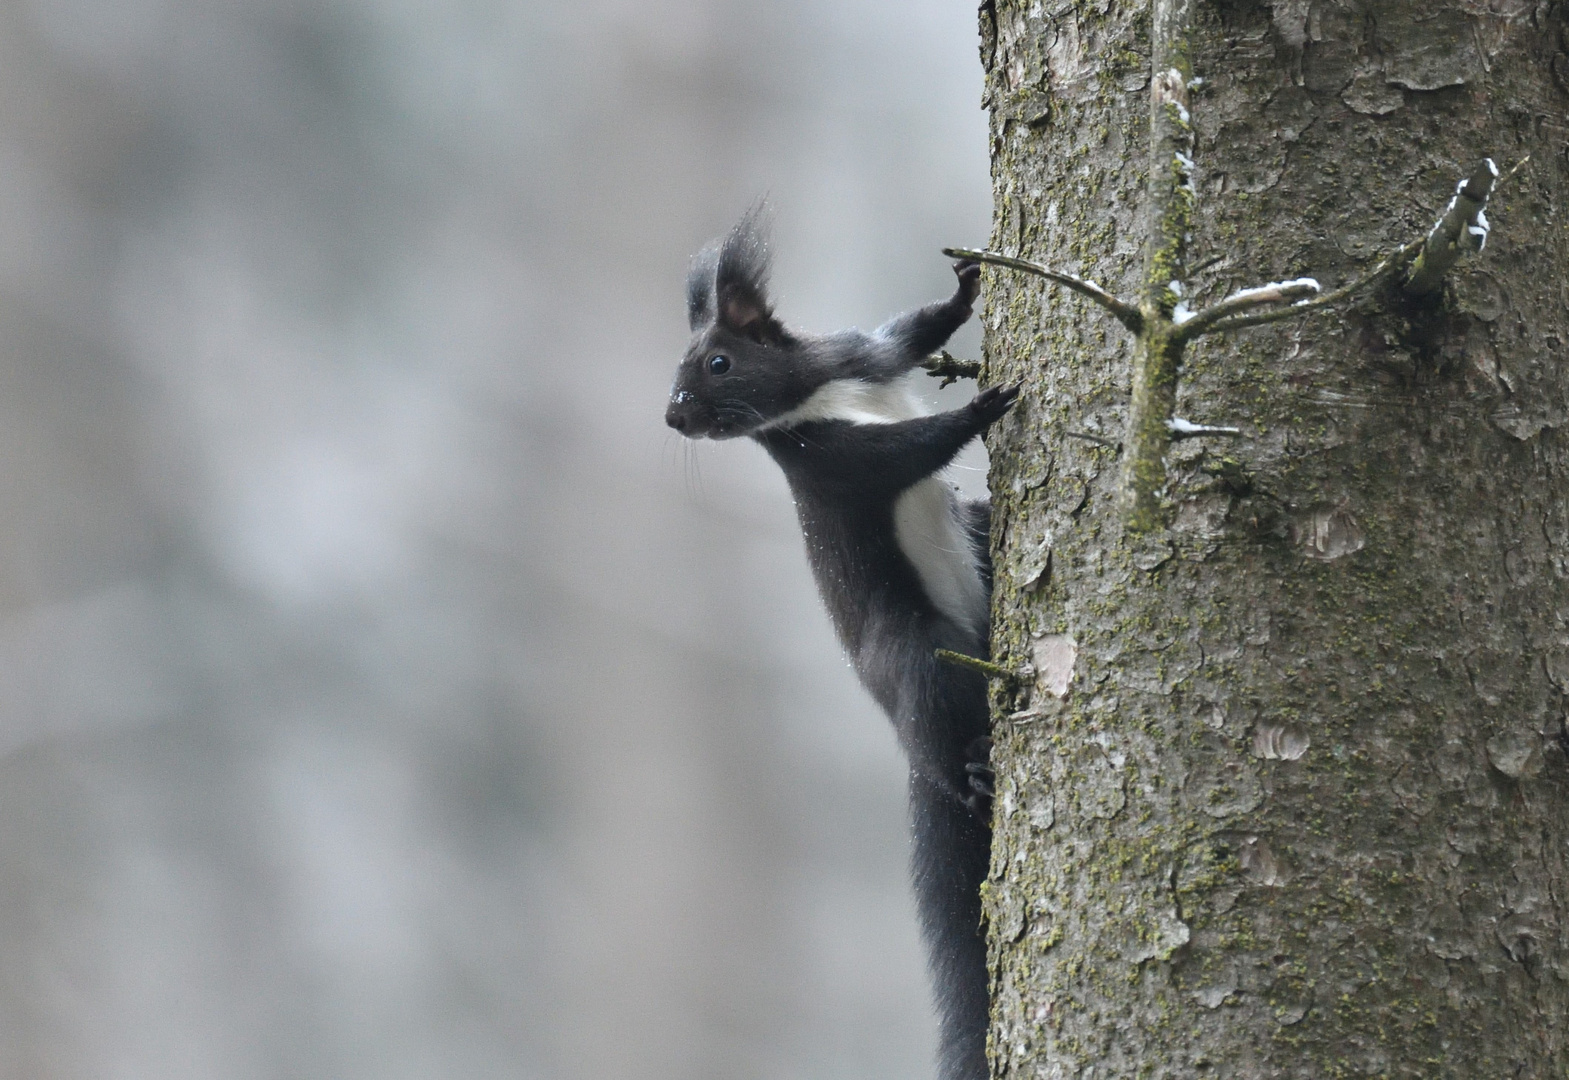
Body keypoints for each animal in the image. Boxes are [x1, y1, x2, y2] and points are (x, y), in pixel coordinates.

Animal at [665, 208, 1016, 1080]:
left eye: (717, 360)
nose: (674, 415)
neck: (821, 391)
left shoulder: (863, 354)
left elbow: (911, 333)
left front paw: (963, 291)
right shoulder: (833, 461)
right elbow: (910, 449)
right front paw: (980, 411)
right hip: (914, 651)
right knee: (937, 725)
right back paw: (970, 775)